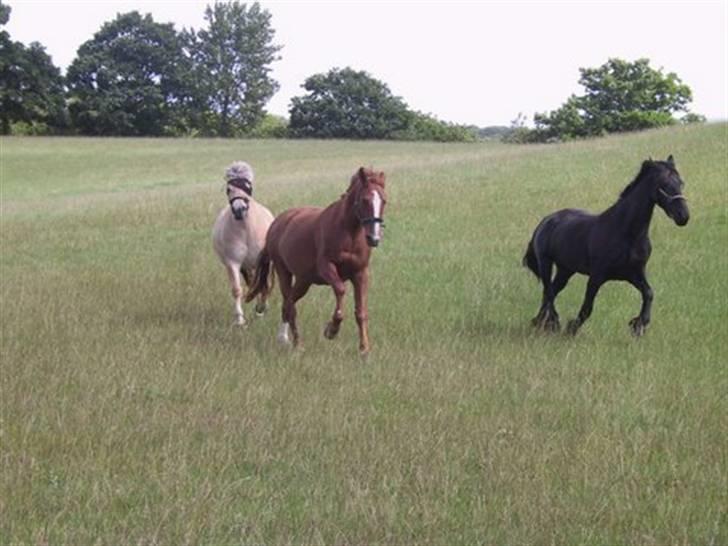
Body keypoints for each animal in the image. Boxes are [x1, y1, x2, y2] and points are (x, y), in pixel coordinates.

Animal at [215, 160, 278, 324]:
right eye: (229, 189)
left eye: (248, 187)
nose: (239, 209)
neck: (246, 230)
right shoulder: (234, 263)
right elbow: (237, 290)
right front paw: (240, 320)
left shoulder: (264, 261)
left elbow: (263, 284)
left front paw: (261, 309)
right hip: (247, 265)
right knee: (251, 282)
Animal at [247, 166, 386, 352]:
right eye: (365, 200)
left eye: (384, 200)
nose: (374, 238)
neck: (349, 234)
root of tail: (276, 225)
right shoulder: (326, 267)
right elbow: (341, 290)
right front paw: (331, 330)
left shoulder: (360, 274)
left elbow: (361, 312)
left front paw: (364, 349)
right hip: (284, 272)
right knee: (290, 306)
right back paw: (297, 344)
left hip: (304, 280)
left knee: (288, 304)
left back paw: (284, 339)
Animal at [524, 154, 688, 336]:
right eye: (663, 184)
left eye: (681, 183)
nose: (683, 216)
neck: (627, 234)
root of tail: (545, 221)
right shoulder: (597, 276)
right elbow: (587, 308)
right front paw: (571, 328)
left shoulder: (635, 273)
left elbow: (649, 293)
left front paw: (638, 325)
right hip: (545, 263)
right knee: (548, 291)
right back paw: (551, 322)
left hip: (566, 270)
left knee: (551, 291)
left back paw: (540, 321)